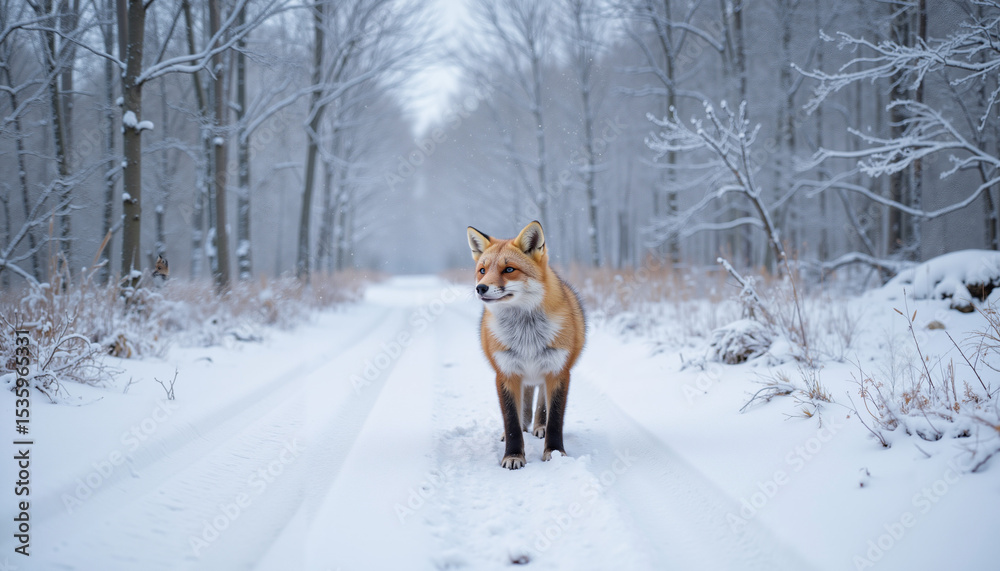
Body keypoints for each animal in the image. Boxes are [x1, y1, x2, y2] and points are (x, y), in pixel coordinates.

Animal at [467, 221, 586, 470]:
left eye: (509, 269)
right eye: (482, 270)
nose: (480, 288)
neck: (526, 336)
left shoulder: (558, 371)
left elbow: (555, 419)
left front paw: (555, 452)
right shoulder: (506, 373)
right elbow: (512, 420)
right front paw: (513, 455)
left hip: (543, 371)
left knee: (540, 403)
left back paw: (539, 427)